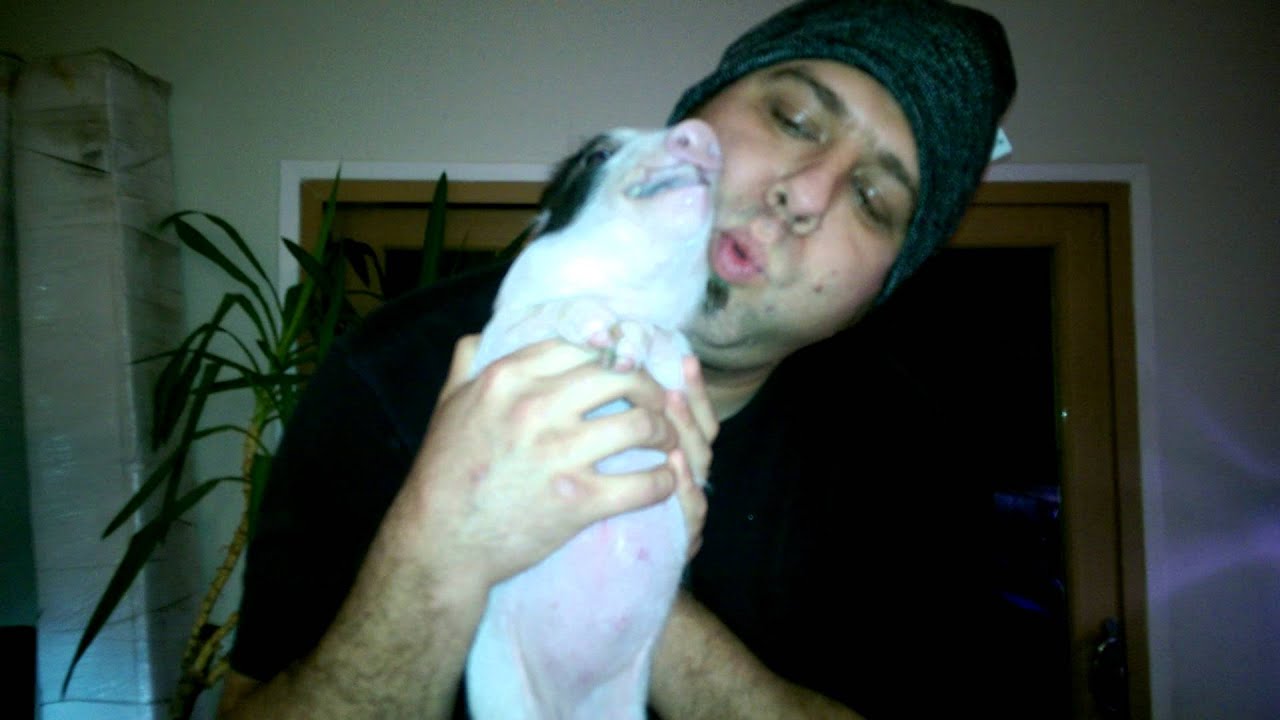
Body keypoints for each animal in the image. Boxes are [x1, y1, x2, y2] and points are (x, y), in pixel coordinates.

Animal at [463, 119, 722, 720]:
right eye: (598, 154)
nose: (701, 130)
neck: (621, 293)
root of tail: (567, 706)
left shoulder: (683, 377)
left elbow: (668, 344)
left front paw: (630, 345)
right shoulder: (499, 346)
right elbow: (541, 314)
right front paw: (600, 330)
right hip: (495, 687)